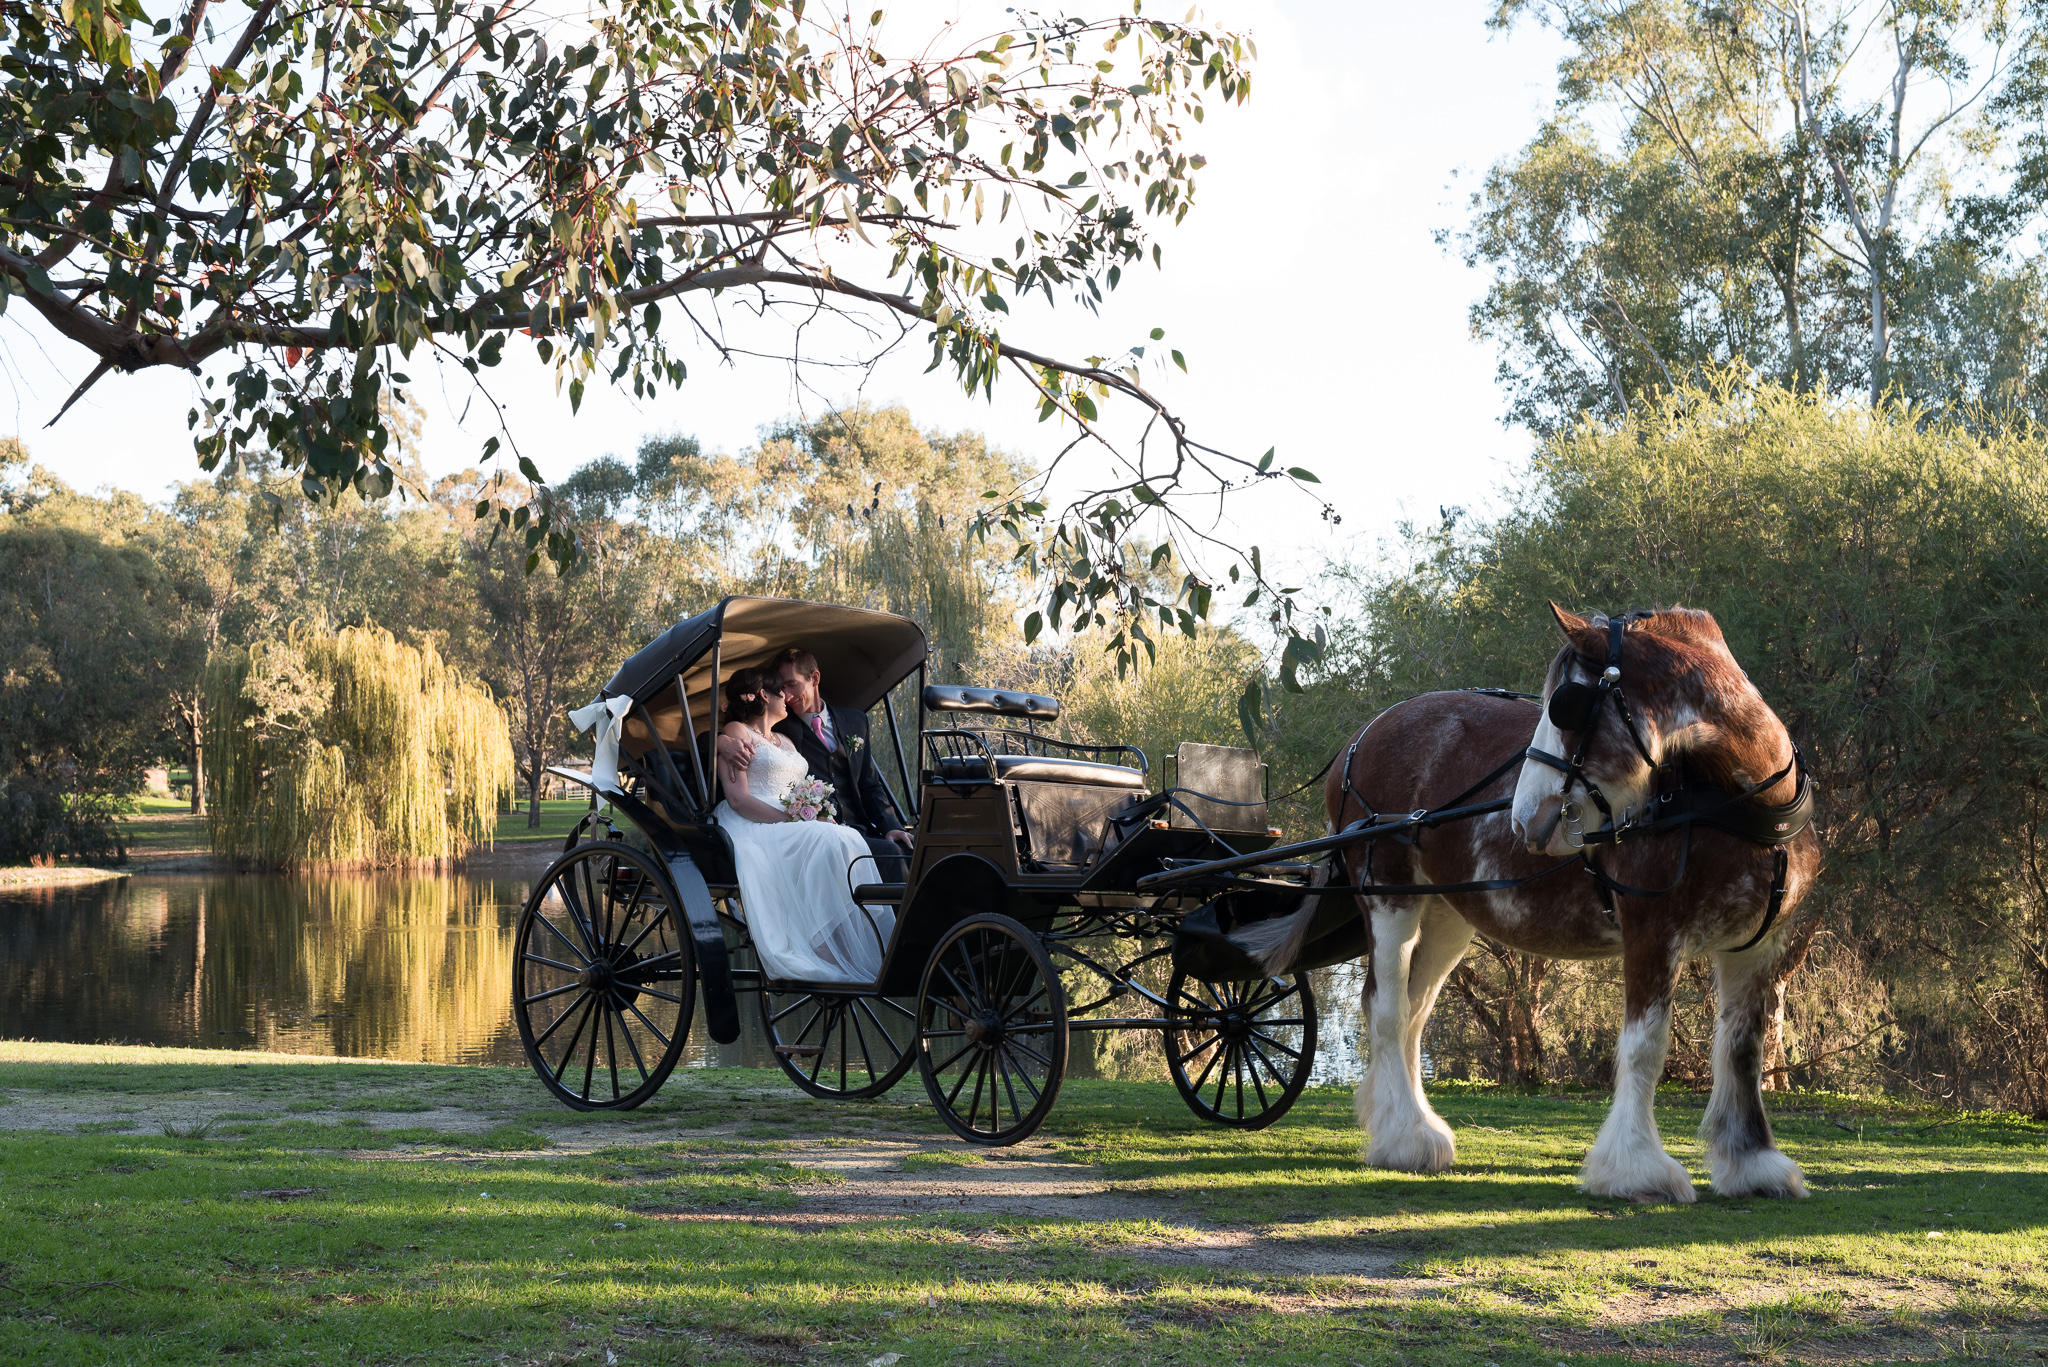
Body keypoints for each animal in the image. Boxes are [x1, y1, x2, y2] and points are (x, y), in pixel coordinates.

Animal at [1228, 602, 1826, 1205]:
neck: (1743, 810)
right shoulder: (1653, 930)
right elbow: (1645, 1046)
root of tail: (1360, 738)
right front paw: (1637, 1169)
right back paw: (1404, 1138)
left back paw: (1405, 1125)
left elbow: (1744, 1047)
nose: (1524, 817)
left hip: (1445, 914)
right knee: (1387, 1008)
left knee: (1415, 1012)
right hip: (1388, 897)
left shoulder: (1760, 946)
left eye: (1566, 708)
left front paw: (1753, 1163)